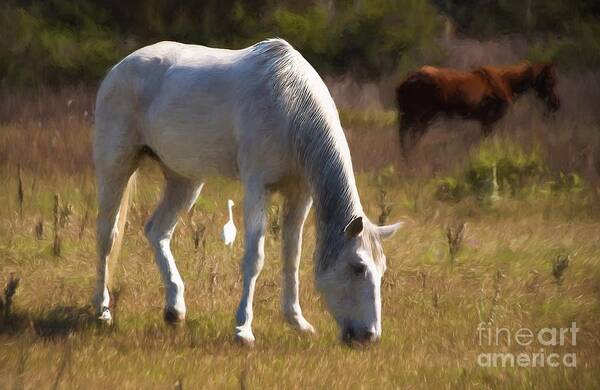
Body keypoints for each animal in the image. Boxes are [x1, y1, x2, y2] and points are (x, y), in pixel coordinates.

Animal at [94, 38, 404, 344]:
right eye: (358, 267)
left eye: (382, 269)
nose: (369, 336)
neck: (289, 104)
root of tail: (120, 67)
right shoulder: (257, 188)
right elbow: (255, 258)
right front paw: (243, 330)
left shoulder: (300, 194)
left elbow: (292, 256)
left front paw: (297, 321)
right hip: (115, 167)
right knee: (107, 236)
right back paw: (103, 311)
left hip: (184, 180)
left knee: (157, 232)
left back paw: (175, 310)